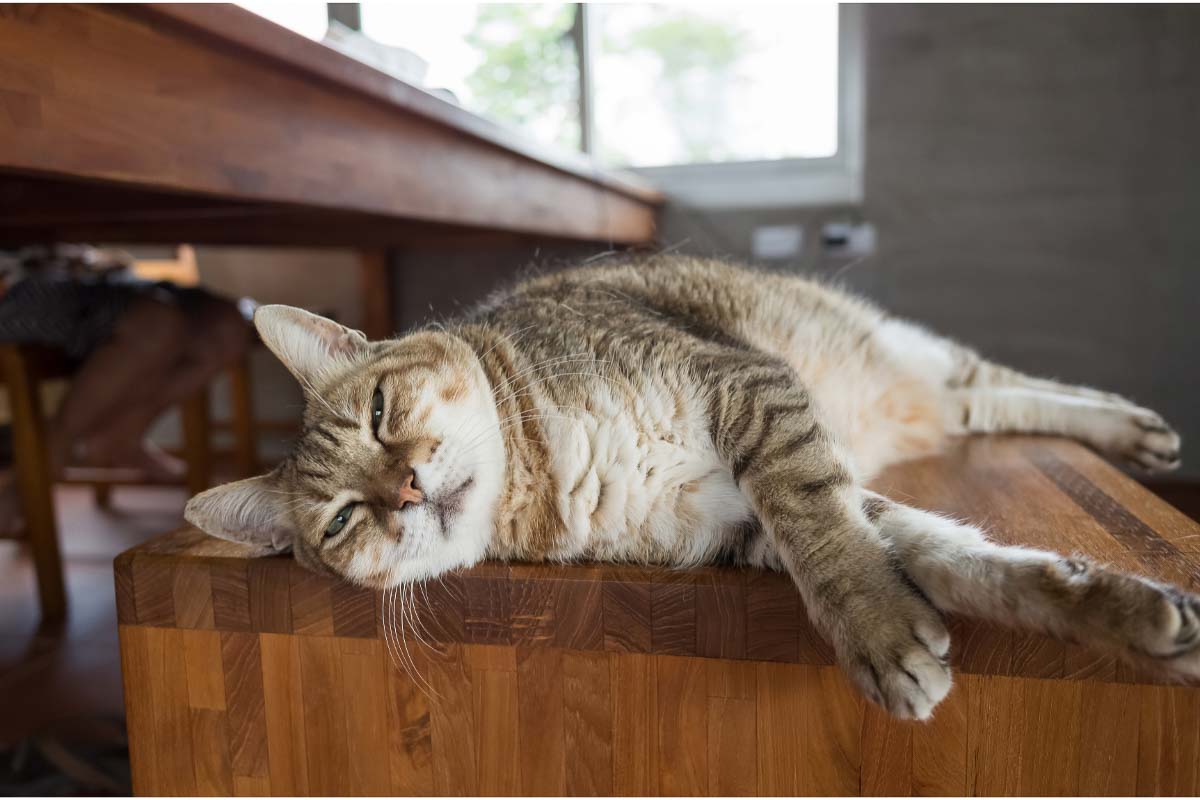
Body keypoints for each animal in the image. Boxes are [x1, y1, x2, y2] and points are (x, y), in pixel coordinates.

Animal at [182, 255, 1195, 719]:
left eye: (381, 410)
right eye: (342, 520)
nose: (405, 491)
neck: (547, 459)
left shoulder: (747, 387)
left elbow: (824, 527)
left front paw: (871, 623)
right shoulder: (735, 527)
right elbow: (946, 554)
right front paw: (1124, 615)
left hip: (912, 352)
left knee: (1007, 381)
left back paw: (1130, 423)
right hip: (933, 396)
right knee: (984, 403)